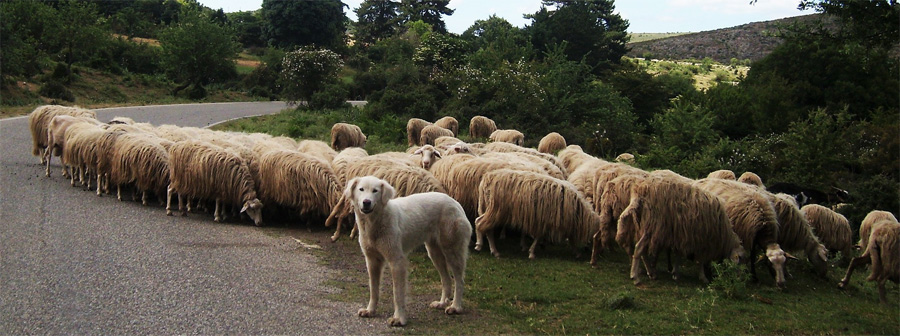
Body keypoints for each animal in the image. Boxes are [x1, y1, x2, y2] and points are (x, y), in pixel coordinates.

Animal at [344, 176, 472, 326]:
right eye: (361, 189)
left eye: (375, 191)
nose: (366, 202)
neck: (375, 222)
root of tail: (455, 202)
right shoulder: (372, 261)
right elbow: (373, 290)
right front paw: (370, 310)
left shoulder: (397, 262)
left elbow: (397, 294)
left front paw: (399, 319)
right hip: (434, 253)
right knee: (446, 279)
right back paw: (441, 303)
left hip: (452, 251)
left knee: (459, 280)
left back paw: (455, 307)